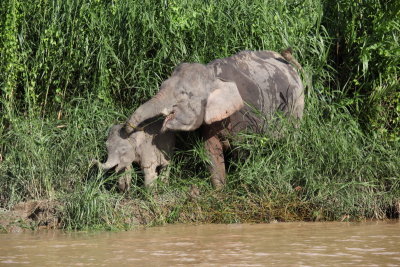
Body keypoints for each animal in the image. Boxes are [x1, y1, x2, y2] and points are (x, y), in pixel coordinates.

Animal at [124, 49, 304, 189]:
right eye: (162, 85)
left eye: (184, 94)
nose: (127, 129)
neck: (213, 75)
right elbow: (210, 149)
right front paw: (220, 191)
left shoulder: (246, 115)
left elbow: (243, 150)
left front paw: (241, 185)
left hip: (296, 106)